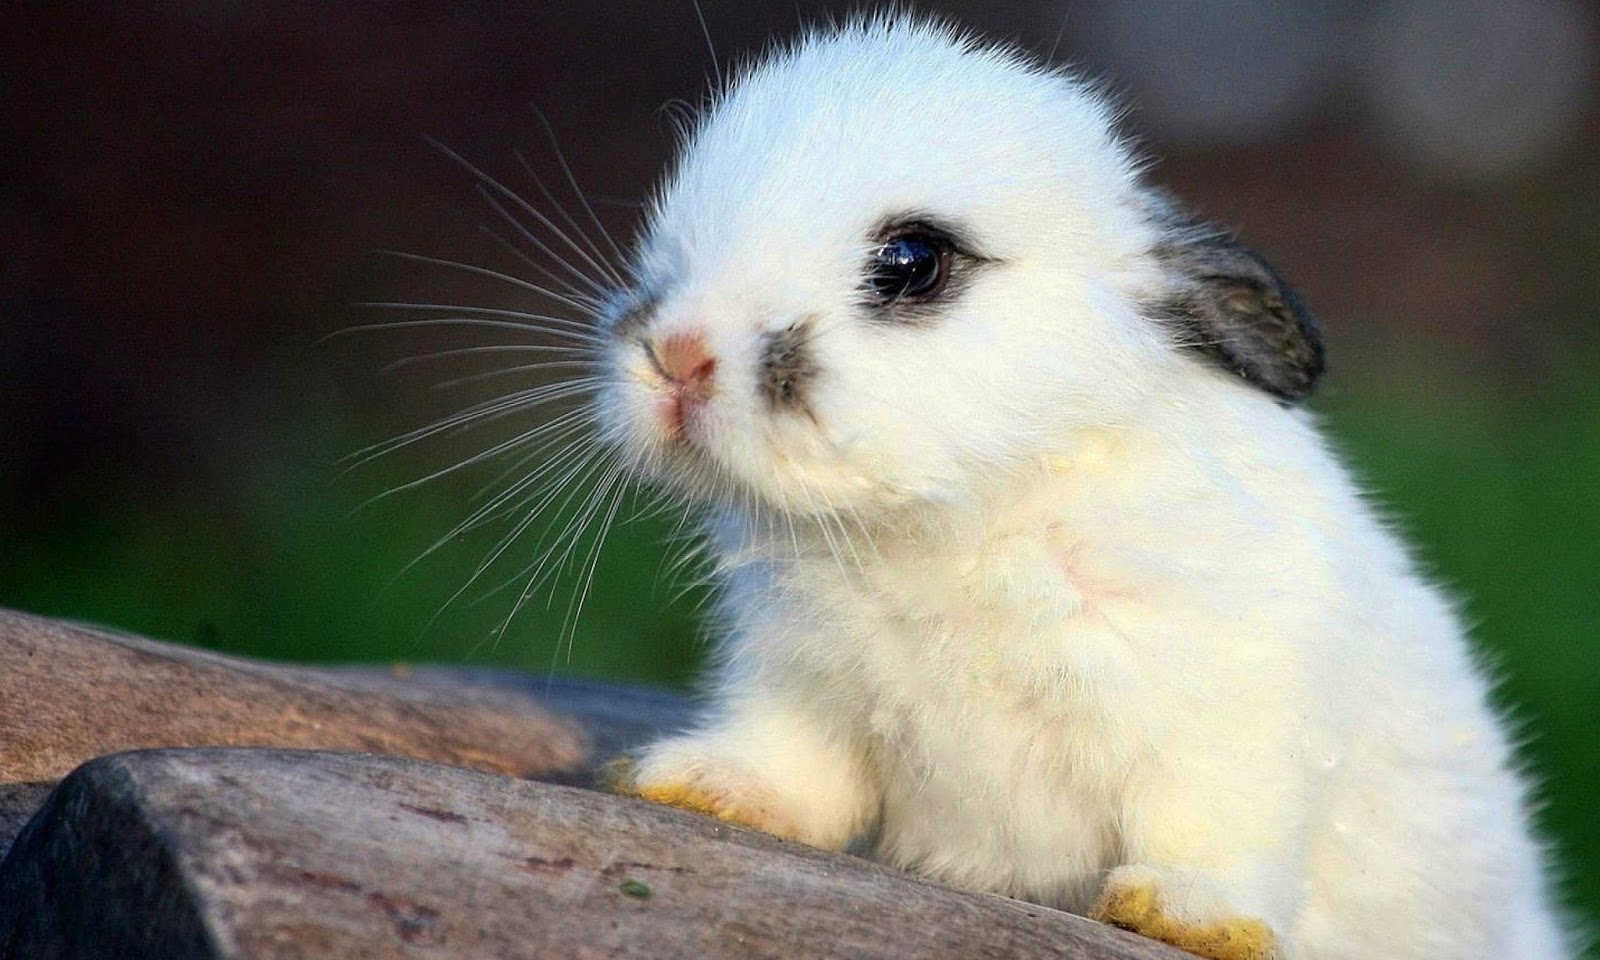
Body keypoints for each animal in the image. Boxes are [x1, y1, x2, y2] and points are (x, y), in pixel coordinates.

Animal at [578, 14, 1573, 960]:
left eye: (912, 261)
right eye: (674, 238)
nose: (678, 355)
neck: (962, 519)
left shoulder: (1230, 713)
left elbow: (1216, 824)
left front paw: (1185, 915)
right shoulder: (800, 683)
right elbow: (792, 767)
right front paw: (697, 784)